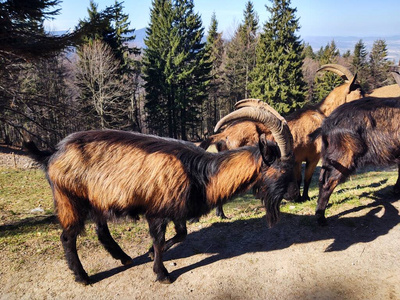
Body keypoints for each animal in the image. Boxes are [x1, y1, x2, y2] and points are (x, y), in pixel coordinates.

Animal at [200, 64, 362, 219]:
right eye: (360, 91)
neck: (322, 114)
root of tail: (224, 134)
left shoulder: (297, 159)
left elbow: (299, 178)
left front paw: (298, 197)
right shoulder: (313, 157)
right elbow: (307, 178)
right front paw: (304, 197)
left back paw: (220, 213)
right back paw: (222, 214)